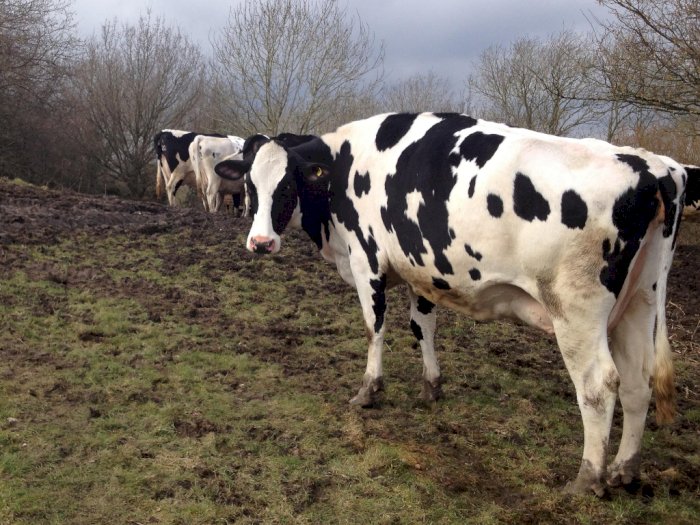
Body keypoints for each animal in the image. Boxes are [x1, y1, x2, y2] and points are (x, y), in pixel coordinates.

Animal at [213, 111, 696, 496]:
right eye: (251, 184)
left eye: (287, 184)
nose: (260, 242)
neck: (342, 168)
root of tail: (656, 168)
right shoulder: (420, 269)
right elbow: (421, 326)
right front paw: (432, 385)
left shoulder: (367, 260)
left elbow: (375, 328)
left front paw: (369, 390)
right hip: (640, 302)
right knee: (637, 382)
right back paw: (624, 470)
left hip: (576, 312)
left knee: (599, 385)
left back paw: (588, 477)